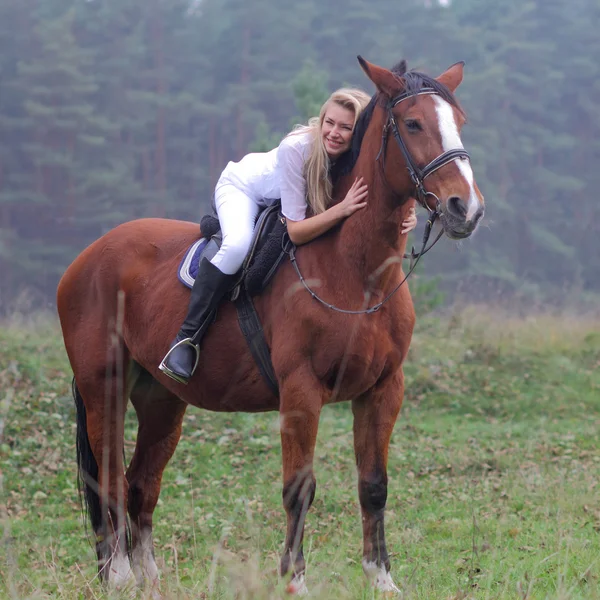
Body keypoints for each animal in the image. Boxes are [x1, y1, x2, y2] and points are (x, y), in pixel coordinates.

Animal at [56, 57, 486, 596]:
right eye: (413, 124)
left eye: (460, 122)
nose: (466, 209)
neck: (356, 272)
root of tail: (86, 258)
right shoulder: (301, 391)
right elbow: (299, 488)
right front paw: (295, 579)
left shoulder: (384, 389)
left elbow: (373, 485)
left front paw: (381, 577)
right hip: (104, 389)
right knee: (111, 478)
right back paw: (117, 575)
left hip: (161, 399)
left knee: (141, 482)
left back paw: (149, 576)